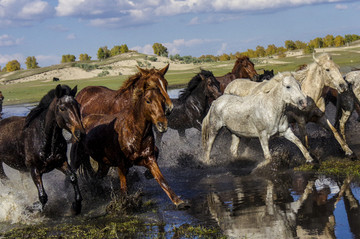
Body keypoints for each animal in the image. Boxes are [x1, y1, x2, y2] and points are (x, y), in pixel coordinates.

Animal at [0, 84, 85, 215]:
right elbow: (43, 196)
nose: (80, 133)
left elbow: (72, 177)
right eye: (62, 108)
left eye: (78, 106)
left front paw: (76, 206)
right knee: (5, 179)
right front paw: (33, 207)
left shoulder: (60, 162)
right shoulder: (34, 170)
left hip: (21, 169)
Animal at [70, 77, 184, 206]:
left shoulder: (149, 159)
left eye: (162, 100)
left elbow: (162, 180)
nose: (162, 124)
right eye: (148, 101)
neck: (134, 133)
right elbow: (124, 188)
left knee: (95, 176)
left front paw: (179, 201)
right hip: (77, 158)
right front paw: (124, 204)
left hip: (103, 165)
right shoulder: (121, 164)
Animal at [225, 52, 354, 157]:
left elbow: (335, 131)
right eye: (327, 69)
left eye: (338, 68)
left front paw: (348, 151)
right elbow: (305, 141)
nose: (344, 86)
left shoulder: (320, 117)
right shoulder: (300, 121)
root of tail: (229, 87)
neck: (309, 95)